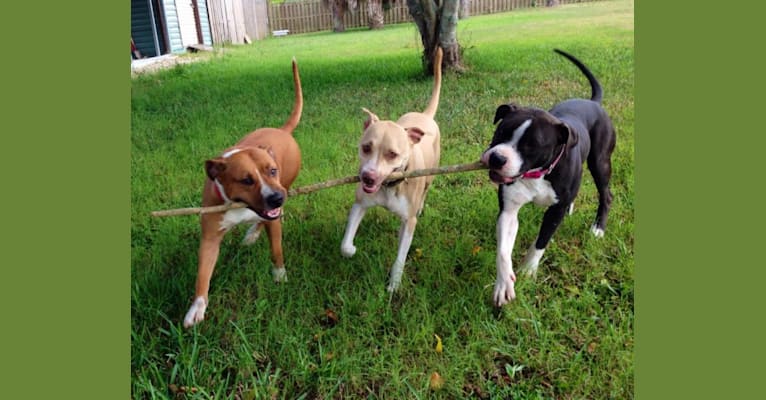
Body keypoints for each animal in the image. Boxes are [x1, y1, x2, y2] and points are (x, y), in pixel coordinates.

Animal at [184, 58, 304, 328]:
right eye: (246, 180)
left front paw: (280, 274)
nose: (276, 198)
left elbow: (277, 249)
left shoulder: (273, 217)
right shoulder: (210, 238)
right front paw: (197, 307)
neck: (239, 205)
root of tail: (282, 130)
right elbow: (202, 274)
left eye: (272, 170)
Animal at [340, 47, 444, 290]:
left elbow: (400, 257)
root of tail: (424, 116)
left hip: (431, 175)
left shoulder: (409, 222)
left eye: (392, 154)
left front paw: (394, 284)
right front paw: (352, 249)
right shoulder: (360, 204)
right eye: (366, 147)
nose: (367, 177)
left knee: (425, 191)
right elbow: (345, 245)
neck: (389, 185)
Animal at [484, 50, 620, 306]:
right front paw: (504, 283)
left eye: (532, 145)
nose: (497, 158)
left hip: (600, 162)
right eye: (501, 131)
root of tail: (593, 102)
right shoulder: (508, 211)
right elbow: (503, 251)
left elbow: (542, 240)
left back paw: (598, 227)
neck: (537, 173)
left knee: (606, 194)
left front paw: (528, 270)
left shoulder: (554, 213)